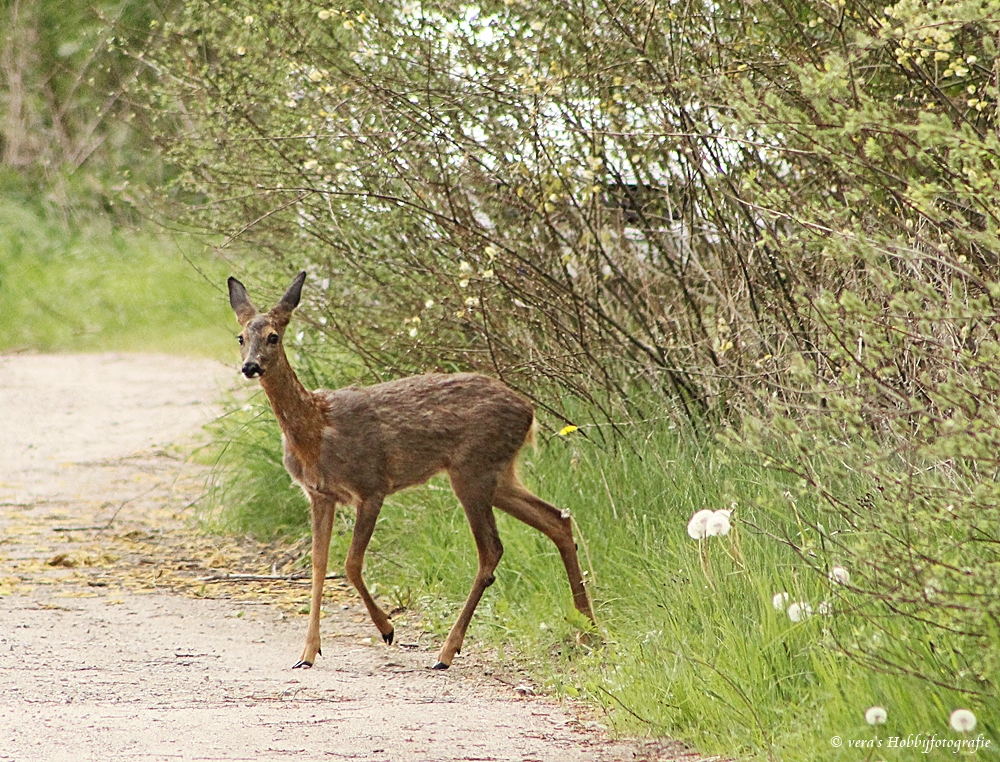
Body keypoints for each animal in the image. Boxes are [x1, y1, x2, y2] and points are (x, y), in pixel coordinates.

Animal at [229, 270, 592, 668]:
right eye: (241, 337)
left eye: (273, 336)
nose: (250, 366)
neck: (316, 431)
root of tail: (530, 412)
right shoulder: (319, 494)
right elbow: (318, 565)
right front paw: (307, 653)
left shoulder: (372, 485)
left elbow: (351, 563)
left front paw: (387, 629)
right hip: (499, 475)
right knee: (557, 520)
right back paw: (588, 630)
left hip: (472, 469)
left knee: (492, 550)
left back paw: (447, 651)